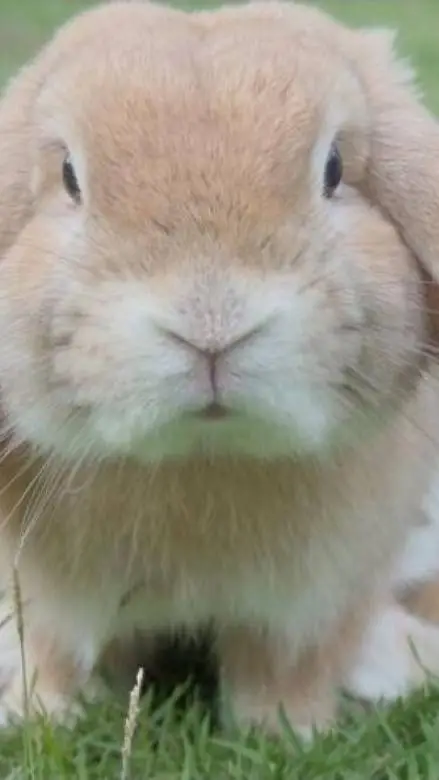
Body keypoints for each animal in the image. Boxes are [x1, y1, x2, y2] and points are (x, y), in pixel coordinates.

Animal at [1, 0, 439, 737]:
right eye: (68, 177)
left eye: (334, 168)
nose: (211, 327)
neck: (202, 457)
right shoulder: (50, 596)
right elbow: (59, 655)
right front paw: (40, 719)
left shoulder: (314, 598)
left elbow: (285, 669)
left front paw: (289, 732)